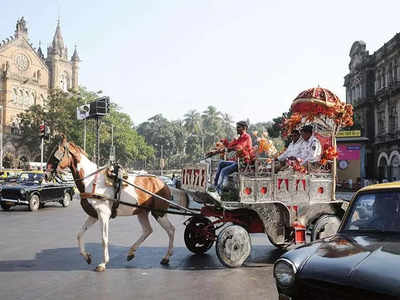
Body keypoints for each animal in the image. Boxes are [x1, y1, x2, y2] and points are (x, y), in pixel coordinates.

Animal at [45, 136, 175, 272]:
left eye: (55, 155)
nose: (46, 174)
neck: (91, 181)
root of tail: (163, 183)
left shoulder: (103, 214)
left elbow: (104, 239)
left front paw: (103, 263)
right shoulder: (93, 215)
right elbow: (80, 234)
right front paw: (86, 256)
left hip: (159, 212)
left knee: (171, 230)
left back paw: (166, 257)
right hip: (142, 211)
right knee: (147, 230)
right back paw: (131, 252)